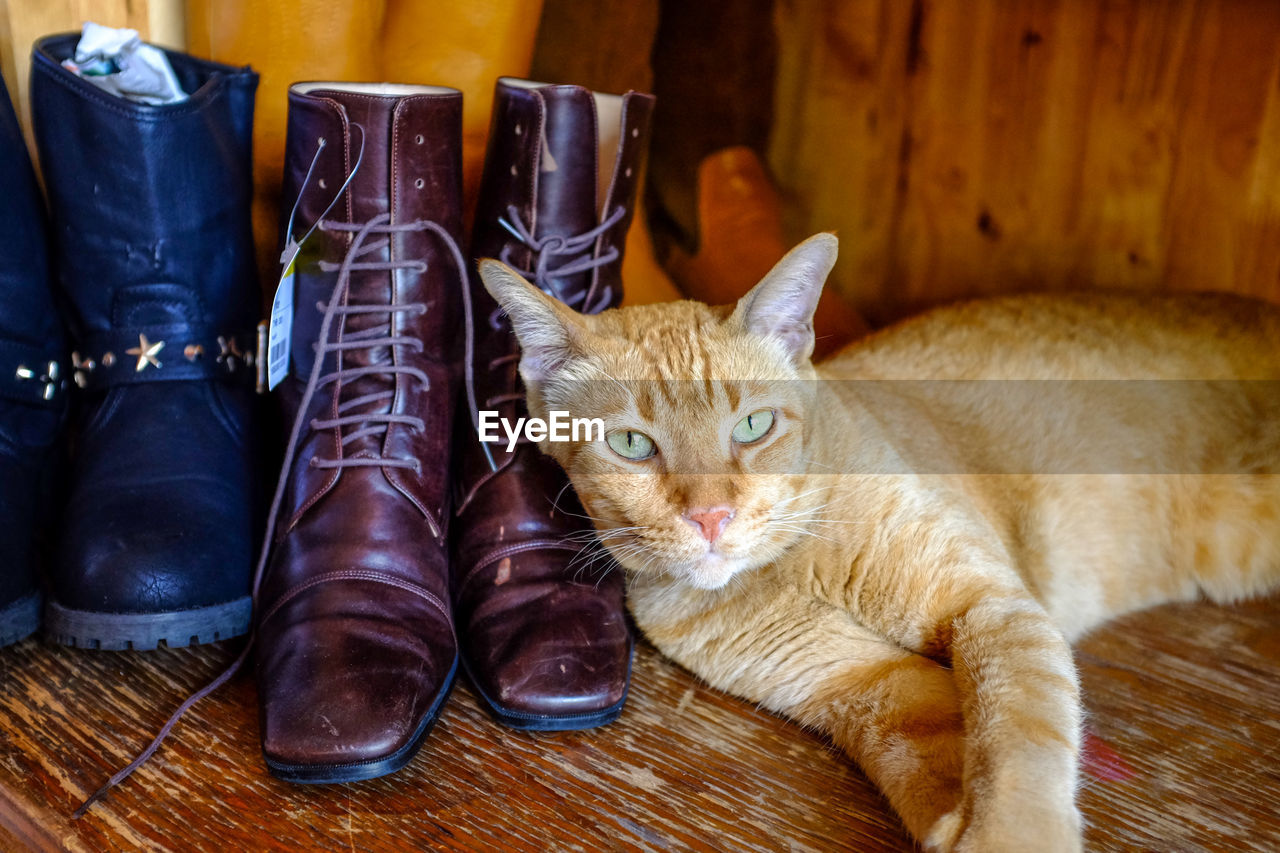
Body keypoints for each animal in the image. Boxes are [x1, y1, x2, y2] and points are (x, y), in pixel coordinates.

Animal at [476, 233, 1274, 850]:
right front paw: (954, 823)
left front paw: (1007, 832)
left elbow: (1017, 734)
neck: (793, 563)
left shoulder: (991, 606)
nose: (711, 518)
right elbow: (941, 750)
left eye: (753, 426)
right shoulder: (866, 683)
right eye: (632, 444)